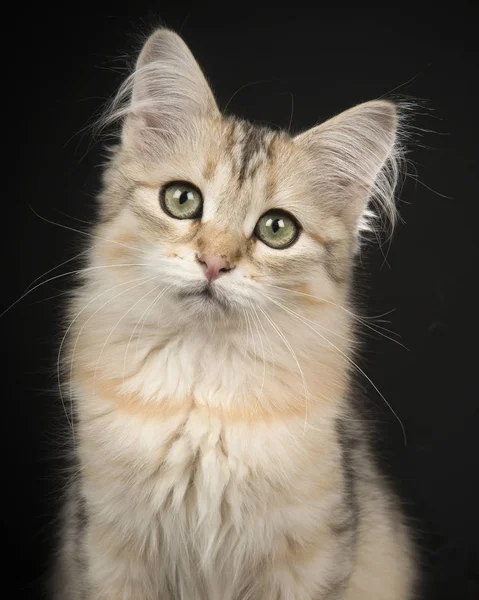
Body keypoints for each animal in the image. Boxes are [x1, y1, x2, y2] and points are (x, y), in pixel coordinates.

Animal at [52, 27, 418, 600]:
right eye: (181, 200)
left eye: (277, 229)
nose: (214, 263)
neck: (203, 387)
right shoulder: (106, 546)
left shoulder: (309, 558)